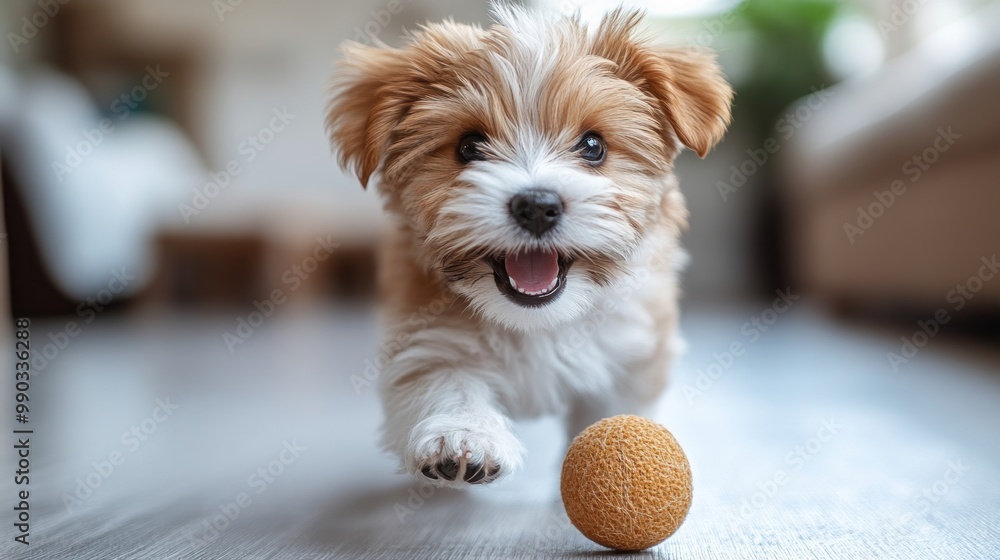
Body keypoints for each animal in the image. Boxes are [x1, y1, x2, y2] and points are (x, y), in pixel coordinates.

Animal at [330, 5, 736, 486]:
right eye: (469, 146)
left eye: (593, 146)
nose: (537, 205)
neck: (535, 325)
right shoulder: (427, 336)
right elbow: (444, 378)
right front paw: (464, 433)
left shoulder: (631, 357)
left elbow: (615, 413)